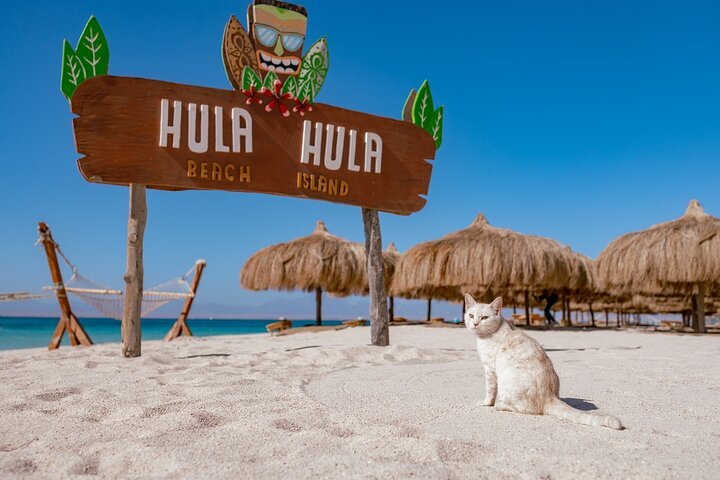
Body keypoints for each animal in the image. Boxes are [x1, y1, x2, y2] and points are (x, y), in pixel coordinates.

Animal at [464, 294, 620, 430]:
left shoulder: (490, 369)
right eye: (471, 315)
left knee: (526, 409)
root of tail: (549, 396)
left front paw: (486, 403)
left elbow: (490, 391)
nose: (475, 323)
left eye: (484, 317)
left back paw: (500, 405)